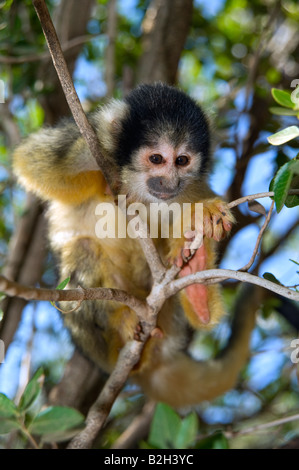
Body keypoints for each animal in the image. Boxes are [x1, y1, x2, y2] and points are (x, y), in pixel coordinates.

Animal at [13, 82, 258, 406]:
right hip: (91, 345)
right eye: (156, 159)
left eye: (182, 161)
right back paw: (122, 325)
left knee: (197, 314)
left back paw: (196, 283)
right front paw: (107, 155)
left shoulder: (193, 188)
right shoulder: (85, 132)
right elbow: (30, 161)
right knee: (83, 249)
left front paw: (197, 225)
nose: (170, 183)